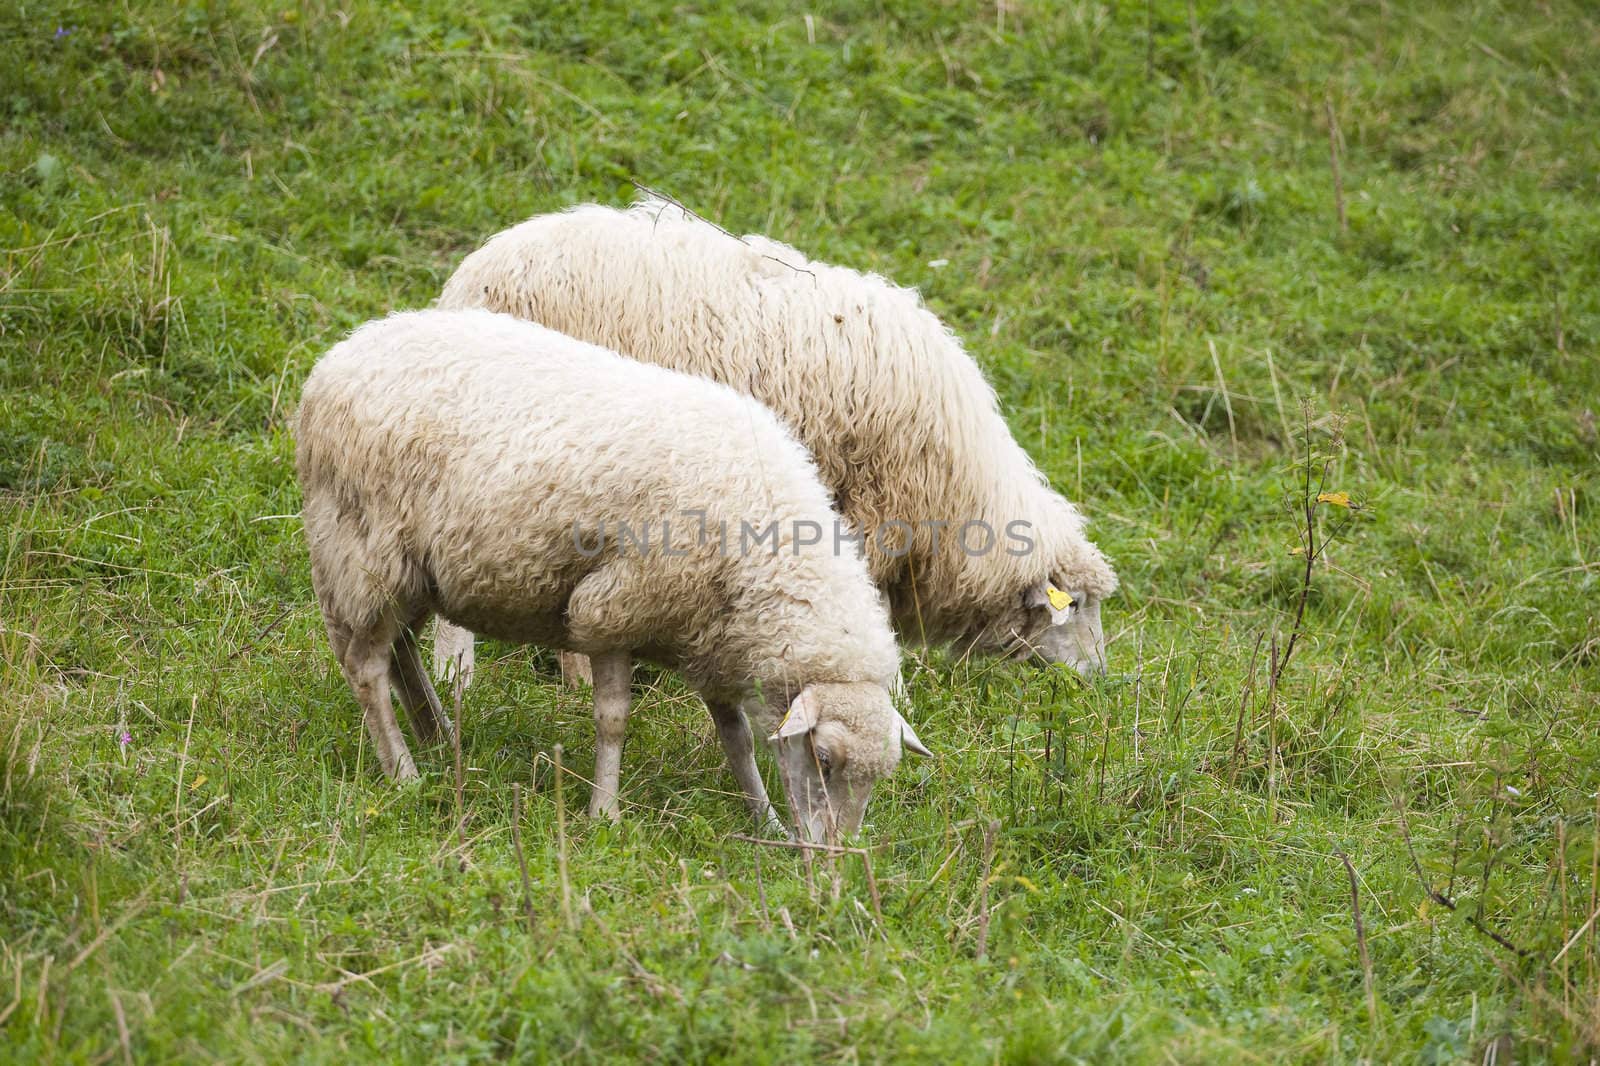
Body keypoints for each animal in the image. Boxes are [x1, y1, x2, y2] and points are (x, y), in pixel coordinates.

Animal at [294, 305, 934, 838]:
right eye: (824, 759)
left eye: (881, 778)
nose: (835, 856)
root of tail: (338, 356)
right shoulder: (613, 608)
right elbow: (613, 720)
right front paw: (605, 812)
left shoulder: (711, 638)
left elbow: (738, 741)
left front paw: (765, 819)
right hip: (363, 551)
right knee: (367, 669)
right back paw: (403, 770)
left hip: (411, 571)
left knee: (399, 650)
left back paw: (438, 735)